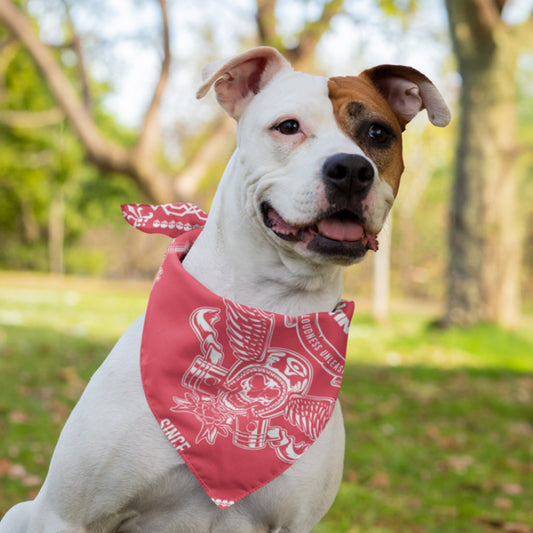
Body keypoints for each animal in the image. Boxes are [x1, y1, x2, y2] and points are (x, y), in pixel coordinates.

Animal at [1, 47, 448, 528]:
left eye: (378, 133)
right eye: (288, 126)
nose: (350, 169)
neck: (271, 304)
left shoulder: (294, 522)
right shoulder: (67, 516)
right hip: (20, 512)